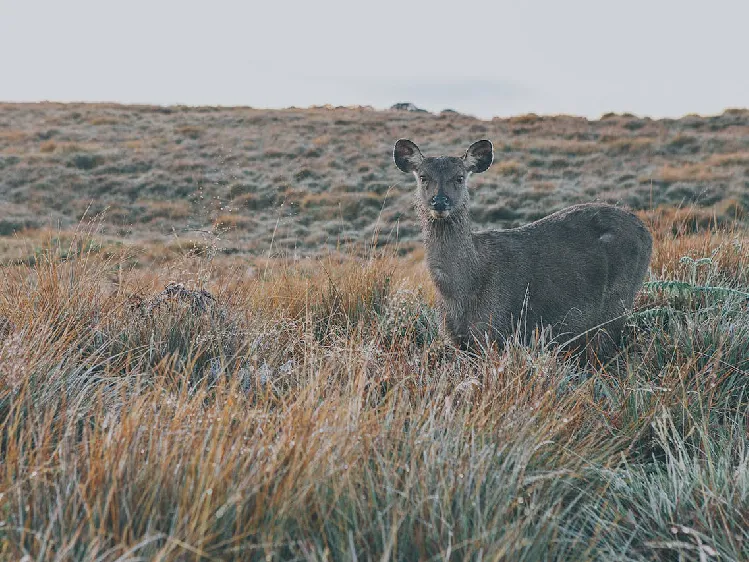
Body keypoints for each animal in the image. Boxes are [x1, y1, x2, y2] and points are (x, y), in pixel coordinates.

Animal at [393, 138, 653, 355]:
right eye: (423, 177)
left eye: (459, 177)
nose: (439, 202)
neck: (462, 290)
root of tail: (646, 231)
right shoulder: (457, 340)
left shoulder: (494, 331)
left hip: (618, 301)